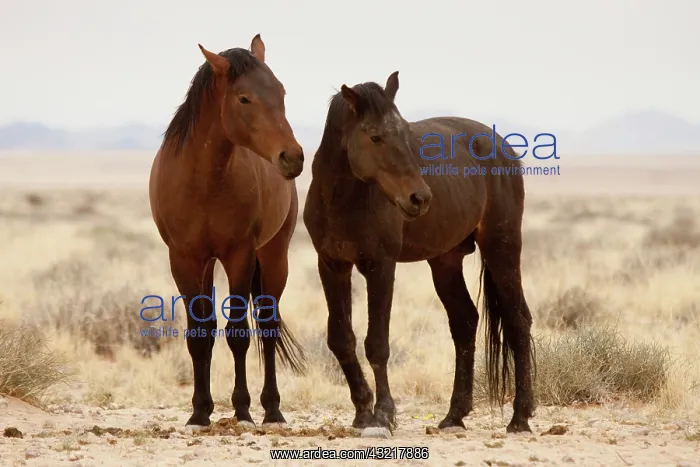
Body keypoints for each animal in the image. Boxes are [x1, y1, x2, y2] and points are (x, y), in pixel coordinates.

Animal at [149, 34, 307, 428]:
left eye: (281, 91)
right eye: (243, 98)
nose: (293, 157)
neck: (205, 181)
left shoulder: (240, 255)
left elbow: (238, 332)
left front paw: (242, 408)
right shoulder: (185, 259)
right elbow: (199, 333)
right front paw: (199, 412)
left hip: (274, 257)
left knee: (267, 326)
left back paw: (272, 409)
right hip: (208, 265)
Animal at [303, 71, 536, 433]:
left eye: (405, 134)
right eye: (375, 136)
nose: (420, 198)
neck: (342, 199)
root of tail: (501, 146)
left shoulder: (380, 266)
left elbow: (377, 343)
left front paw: (383, 414)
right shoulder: (332, 265)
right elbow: (341, 339)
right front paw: (362, 411)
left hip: (502, 247)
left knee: (518, 320)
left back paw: (520, 417)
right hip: (446, 261)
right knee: (465, 322)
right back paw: (454, 415)